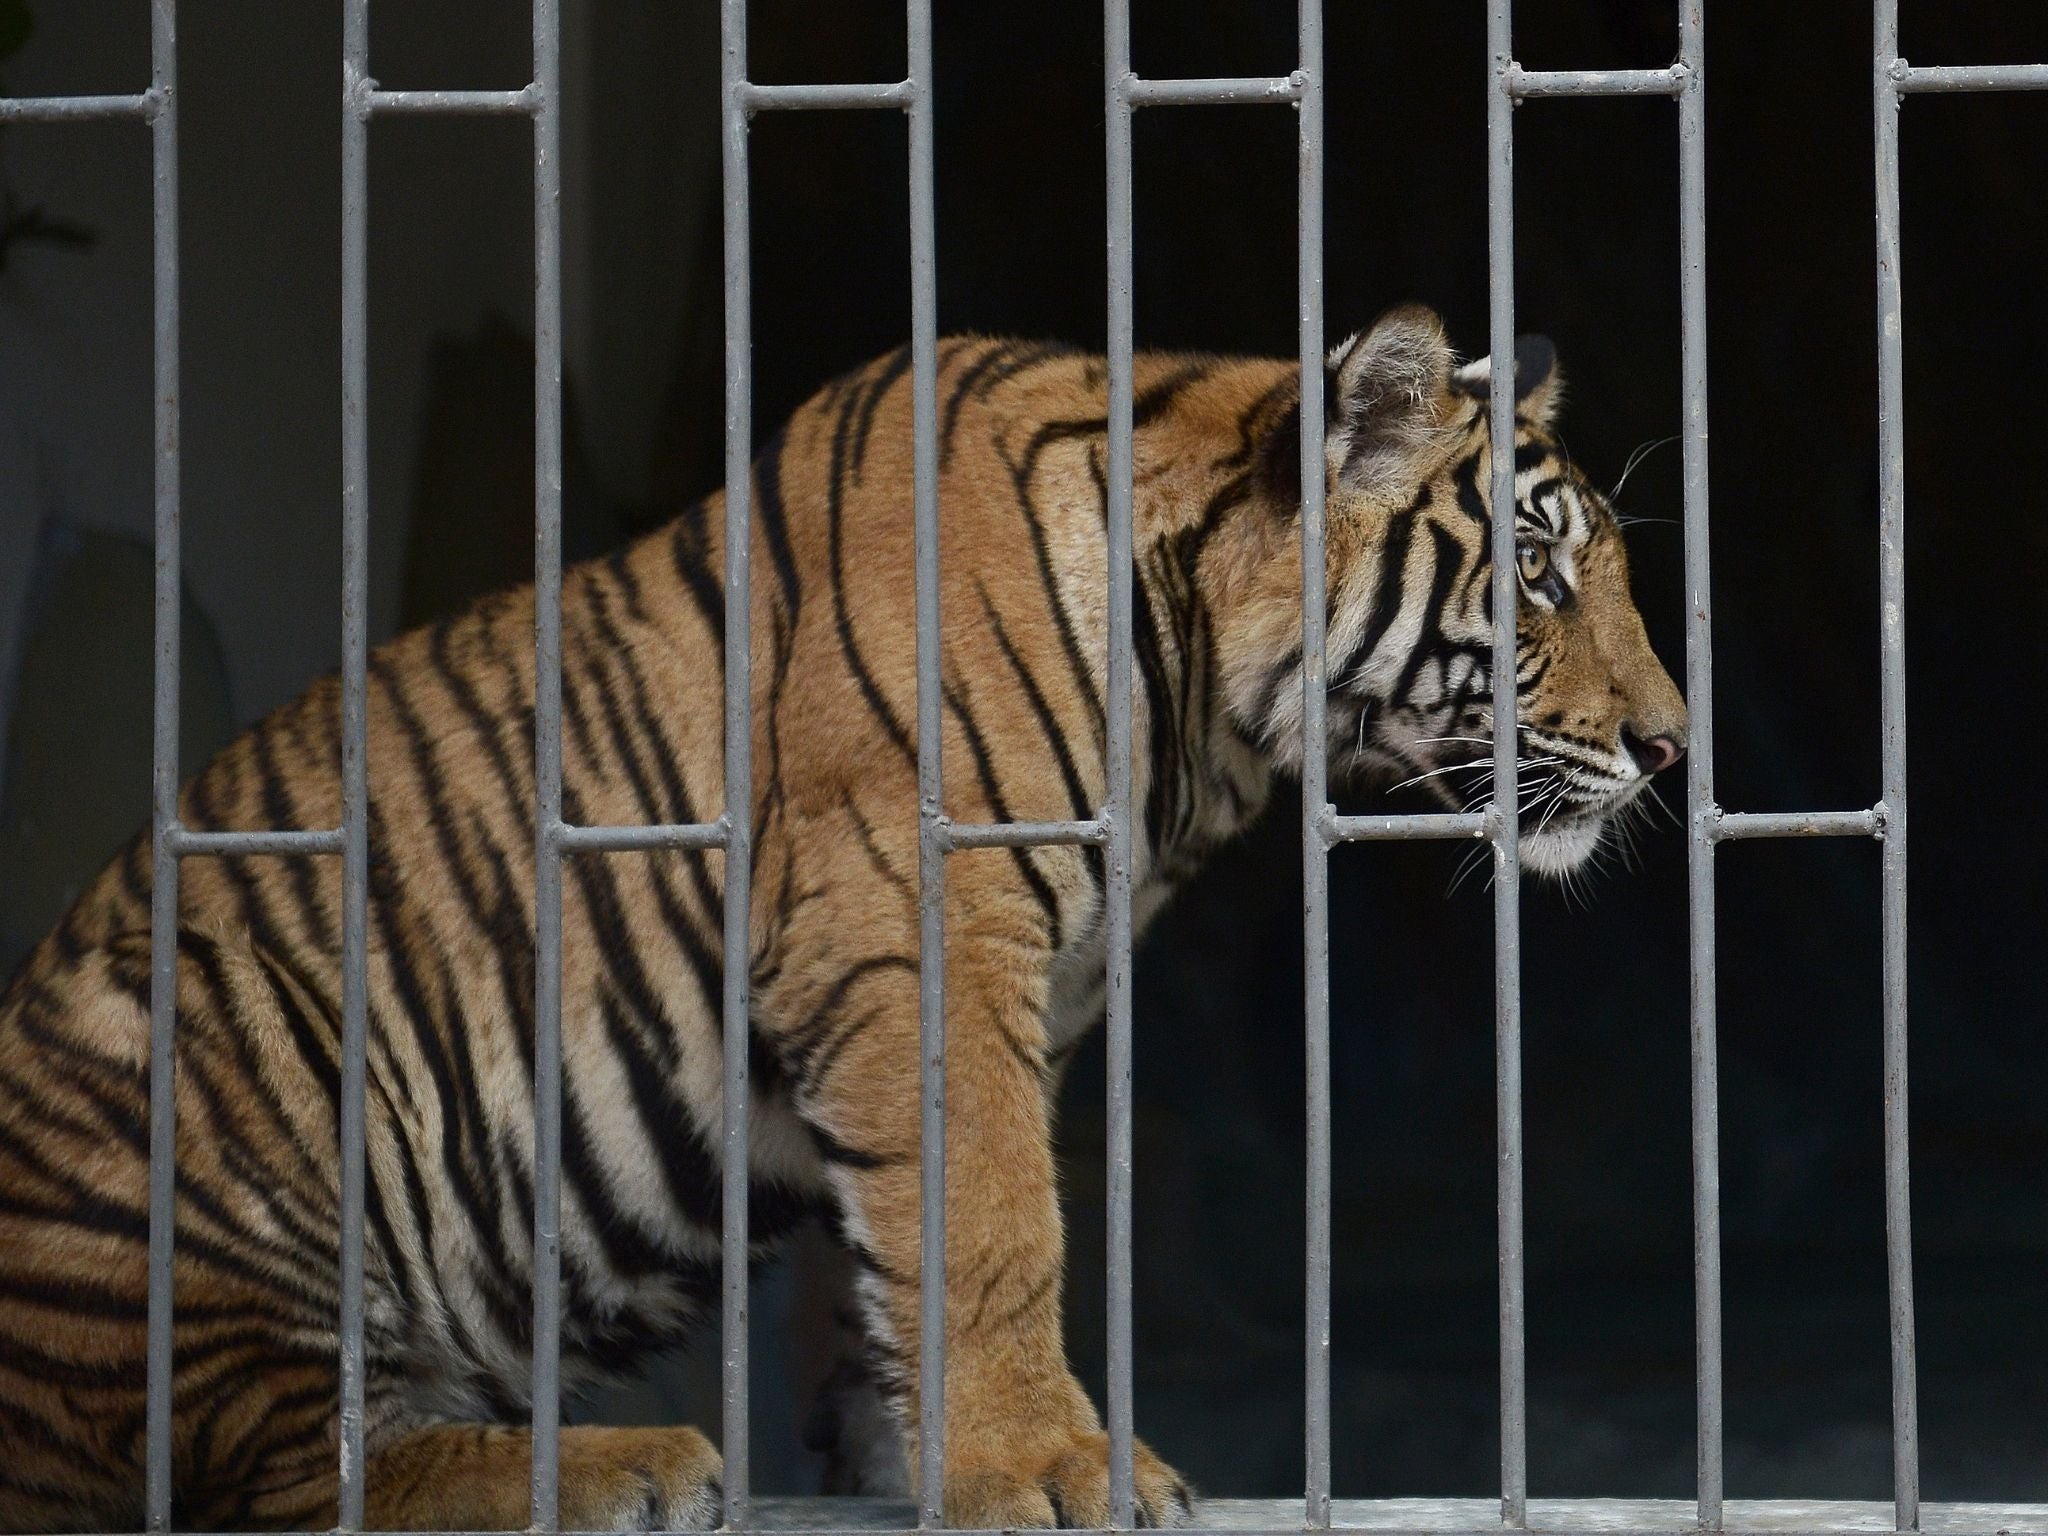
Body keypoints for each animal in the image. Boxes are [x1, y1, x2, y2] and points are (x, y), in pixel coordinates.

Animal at [0, 307, 1679, 1531]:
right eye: (1537, 575)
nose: (1672, 748)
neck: (1204, 722)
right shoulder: (915, 922)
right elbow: (993, 1219)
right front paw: (1048, 1469)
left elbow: (901, 1249)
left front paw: (912, 1457)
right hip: (228, 1030)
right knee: (276, 1465)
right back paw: (614, 1472)